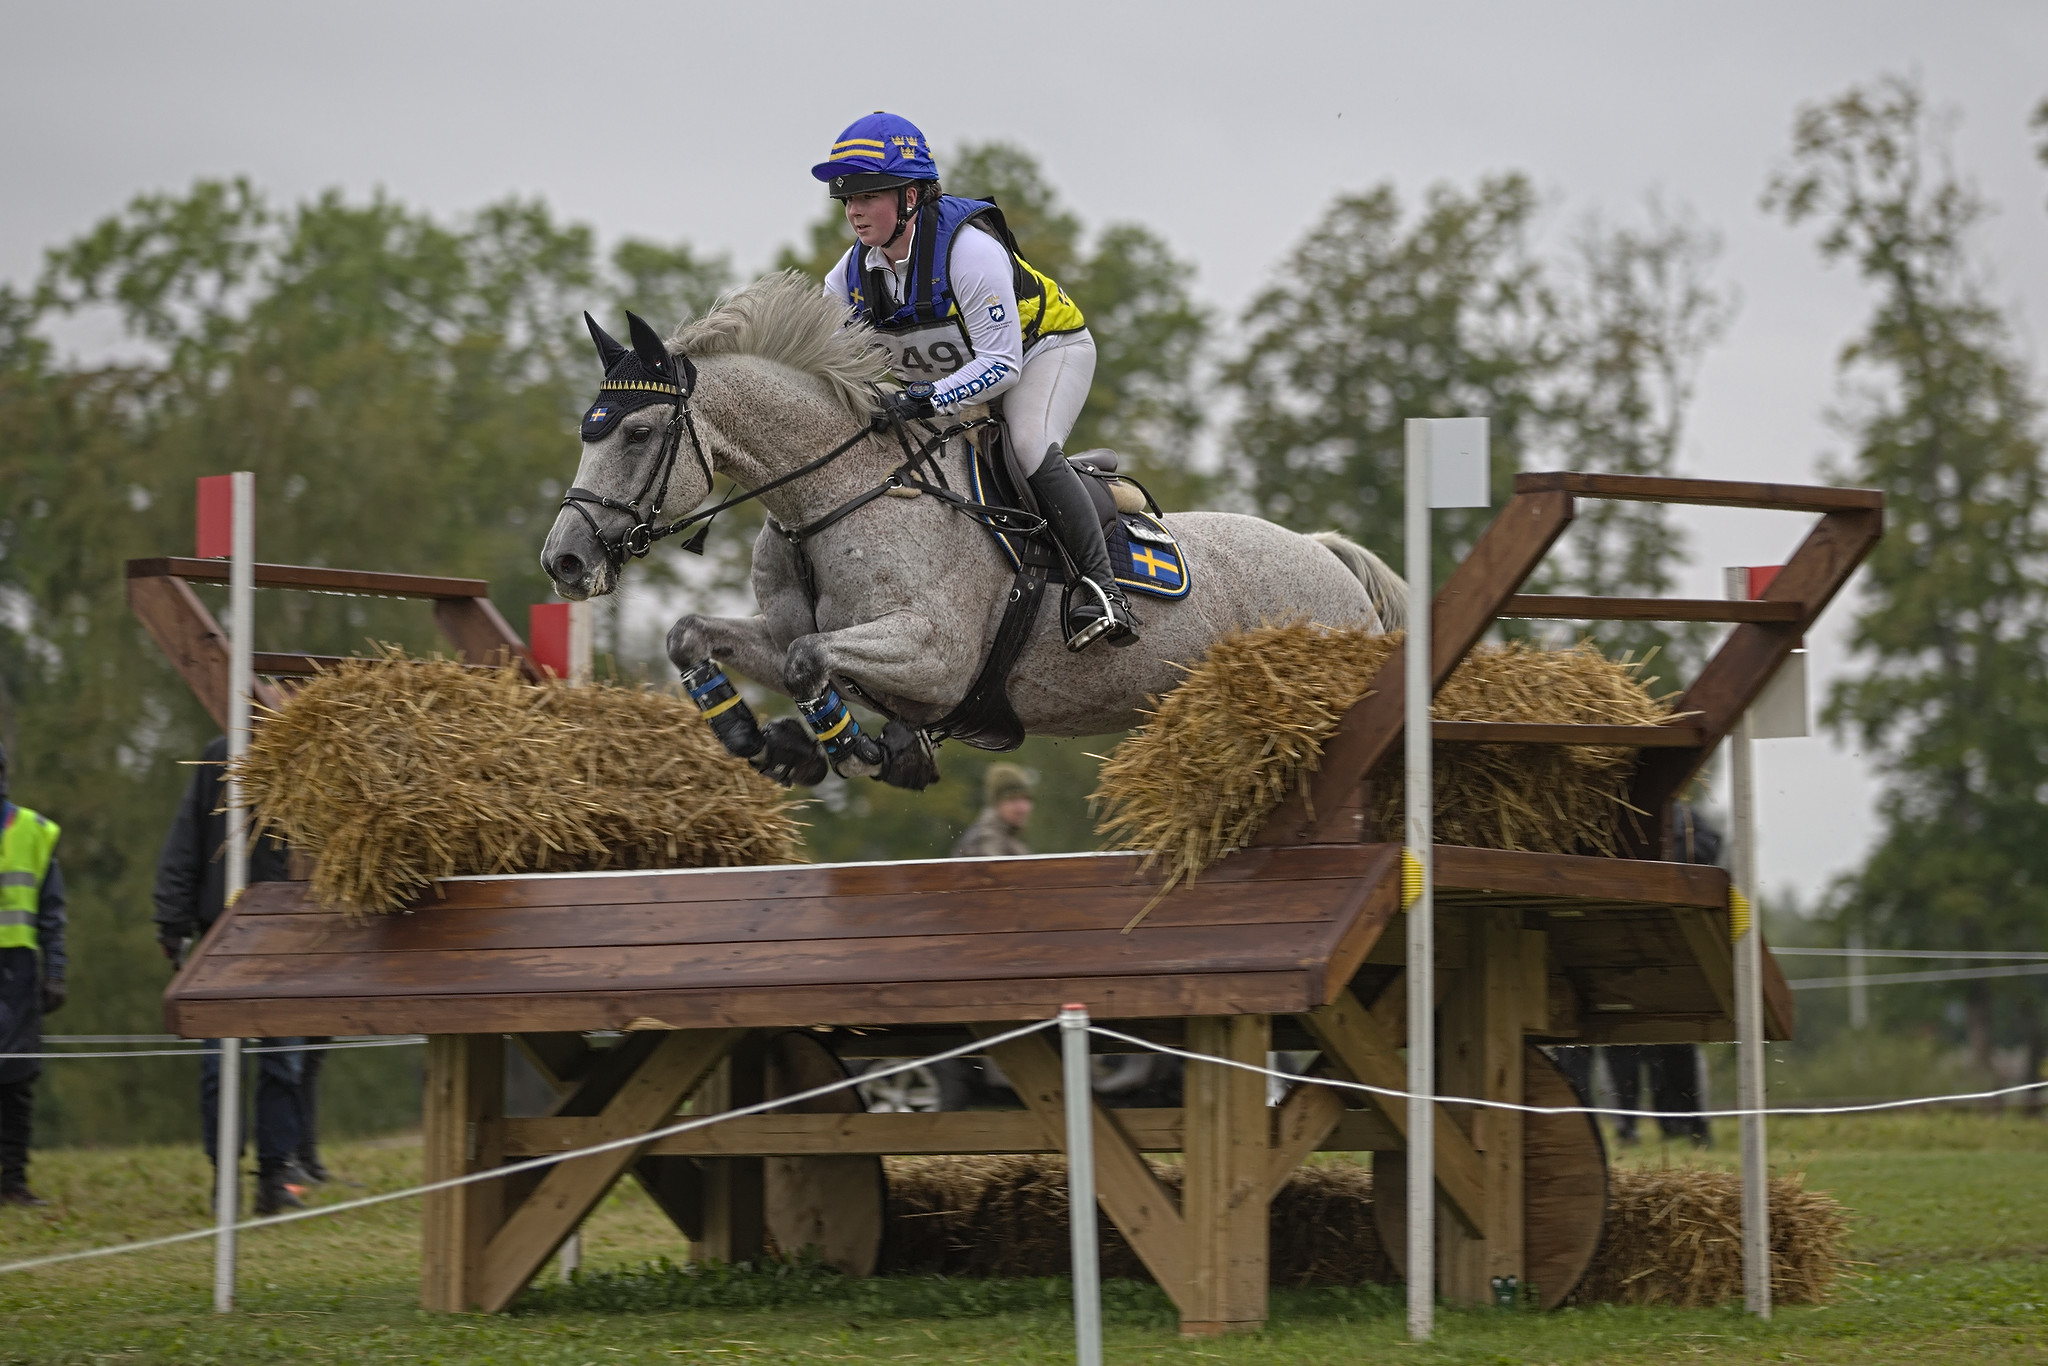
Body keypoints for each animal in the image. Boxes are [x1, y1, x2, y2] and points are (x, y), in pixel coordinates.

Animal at [544, 274, 1409, 790]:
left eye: (637, 434)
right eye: (587, 429)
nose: (565, 561)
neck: (830, 500)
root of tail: (1326, 555)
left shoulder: (936, 655)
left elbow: (806, 660)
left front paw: (861, 749)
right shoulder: (781, 628)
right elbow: (694, 634)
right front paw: (759, 740)